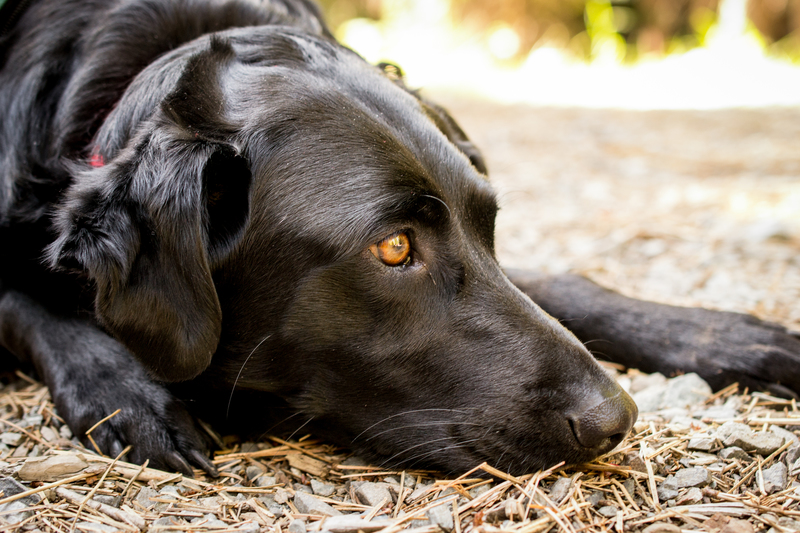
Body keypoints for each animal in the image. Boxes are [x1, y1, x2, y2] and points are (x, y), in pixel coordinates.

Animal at [0, 0, 796, 474]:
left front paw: (730, 336)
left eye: (490, 223)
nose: (616, 418)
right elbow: (30, 304)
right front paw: (131, 395)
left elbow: (563, 284)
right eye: (394, 248)